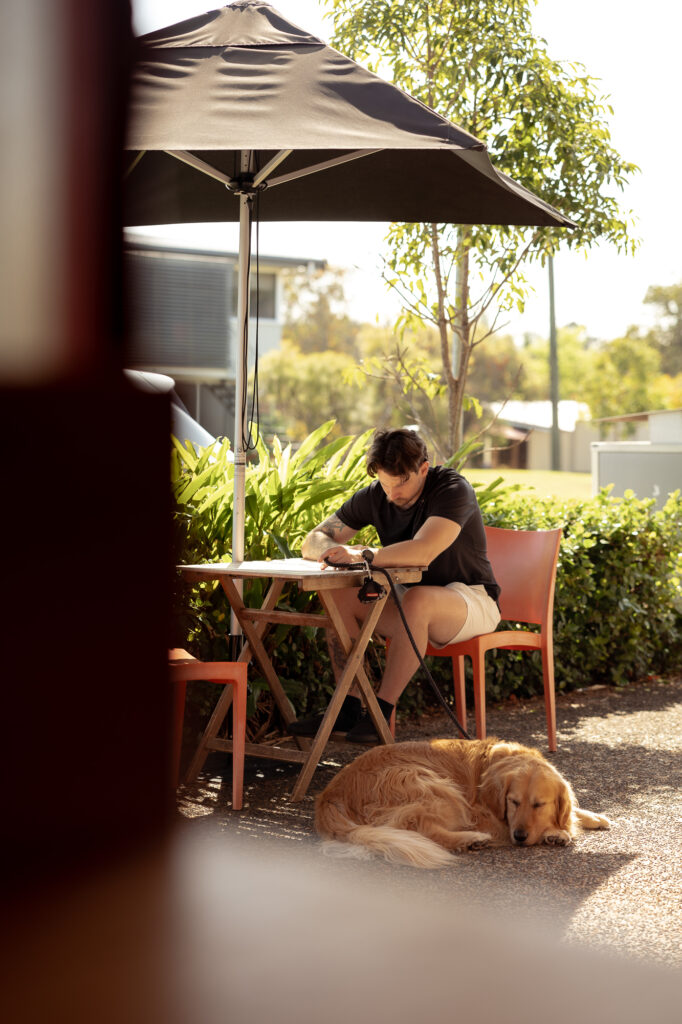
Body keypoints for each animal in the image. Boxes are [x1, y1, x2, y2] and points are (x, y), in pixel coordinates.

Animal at [315, 741, 610, 868]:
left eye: (539, 804)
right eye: (513, 802)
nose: (519, 836)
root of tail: (330, 794)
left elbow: (572, 810)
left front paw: (593, 817)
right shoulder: (482, 812)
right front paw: (557, 832)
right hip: (434, 786)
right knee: (419, 827)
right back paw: (470, 840)